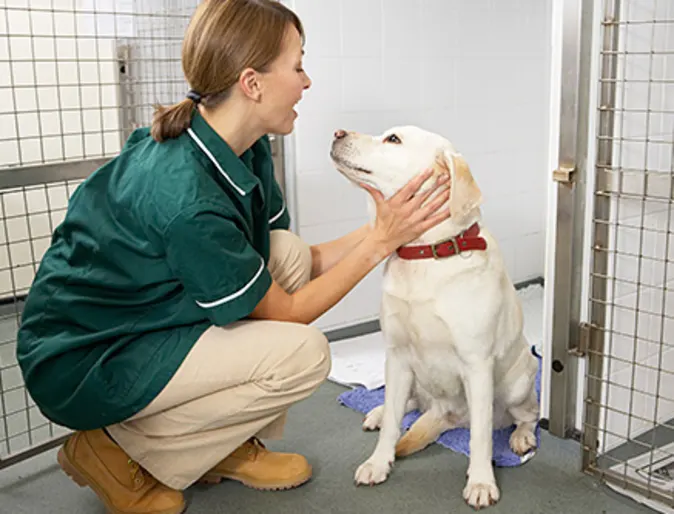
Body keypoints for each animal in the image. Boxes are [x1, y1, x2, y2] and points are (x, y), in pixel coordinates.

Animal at [328, 126, 540, 506]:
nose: (337, 132)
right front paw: (379, 462)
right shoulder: (397, 356)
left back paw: (521, 437)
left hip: (518, 384)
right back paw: (377, 413)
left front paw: (481, 482)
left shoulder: (477, 364)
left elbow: (481, 437)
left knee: (529, 415)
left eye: (393, 140)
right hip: (408, 375)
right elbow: (394, 422)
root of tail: (445, 414)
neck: (426, 253)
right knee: (400, 404)